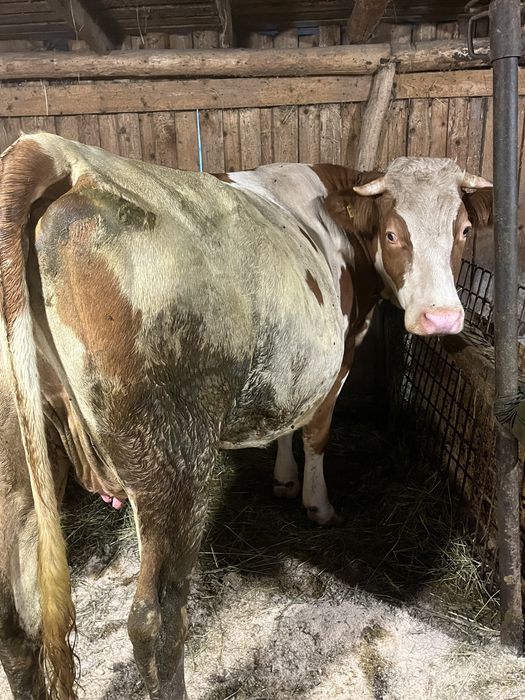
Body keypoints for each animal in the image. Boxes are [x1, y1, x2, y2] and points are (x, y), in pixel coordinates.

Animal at [0, 132, 492, 700]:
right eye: (393, 233)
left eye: (463, 230)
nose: (442, 318)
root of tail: (52, 151)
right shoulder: (339, 358)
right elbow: (317, 432)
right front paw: (318, 504)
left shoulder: (292, 366)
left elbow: (286, 423)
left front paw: (283, 480)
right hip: (170, 461)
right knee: (157, 618)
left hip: (17, 469)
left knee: (15, 623)